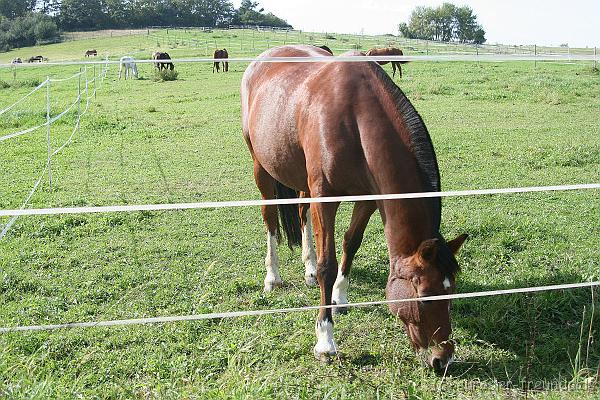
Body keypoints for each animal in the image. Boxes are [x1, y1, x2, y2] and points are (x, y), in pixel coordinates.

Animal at [241, 45, 466, 374]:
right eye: (425, 297)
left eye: (452, 292)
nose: (443, 359)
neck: (355, 120)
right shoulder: (326, 199)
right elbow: (329, 264)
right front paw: (325, 340)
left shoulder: (369, 199)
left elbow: (351, 243)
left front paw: (340, 297)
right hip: (262, 168)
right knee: (270, 219)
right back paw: (273, 276)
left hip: (301, 177)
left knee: (302, 214)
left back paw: (307, 268)